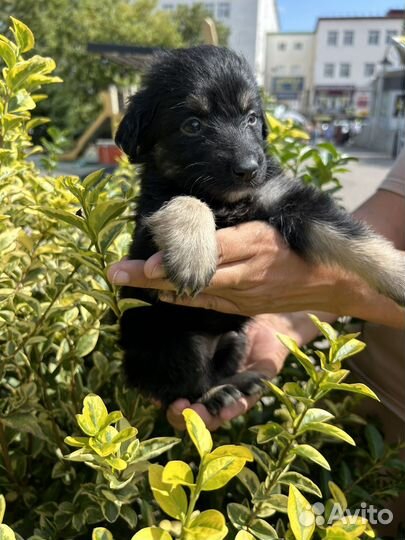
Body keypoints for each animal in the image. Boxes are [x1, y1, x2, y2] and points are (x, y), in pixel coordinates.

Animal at [113, 46, 404, 416]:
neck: (228, 201)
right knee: (180, 387)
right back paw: (213, 394)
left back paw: (240, 380)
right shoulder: (147, 232)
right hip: (175, 342)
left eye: (251, 118)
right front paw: (193, 253)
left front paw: (398, 273)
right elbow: (187, 200)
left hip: (236, 339)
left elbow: (354, 239)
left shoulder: (286, 198)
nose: (249, 170)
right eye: (192, 125)